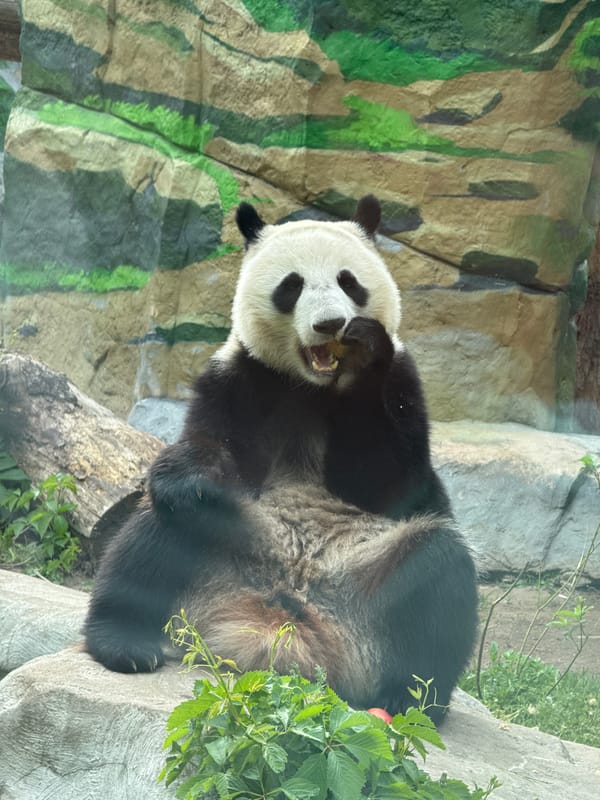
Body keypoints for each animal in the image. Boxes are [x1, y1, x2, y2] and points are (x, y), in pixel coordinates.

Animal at [84, 194, 477, 723]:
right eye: (292, 286)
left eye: (349, 282)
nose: (331, 325)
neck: (312, 388)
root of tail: (283, 627)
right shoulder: (239, 377)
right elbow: (209, 446)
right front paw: (192, 479)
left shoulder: (403, 385)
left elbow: (386, 479)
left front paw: (364, 350)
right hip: (229, 548)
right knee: (155, 535)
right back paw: (124, 641)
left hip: (371, 587)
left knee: (439, 569)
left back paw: (410, 697)